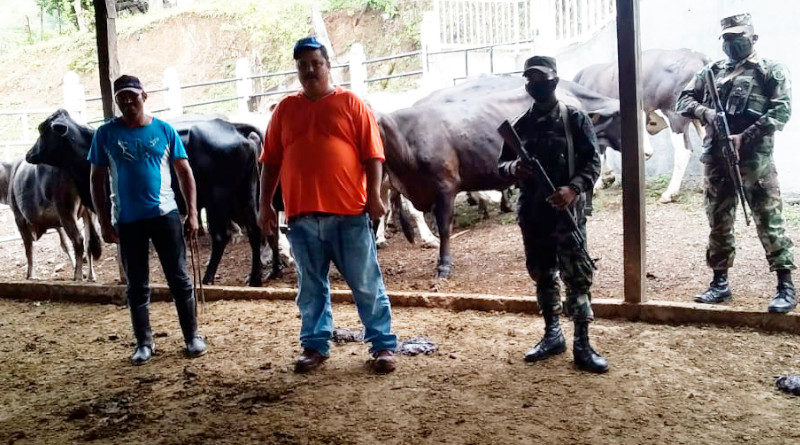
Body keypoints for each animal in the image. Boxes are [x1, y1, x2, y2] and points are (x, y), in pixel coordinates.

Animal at [25, 109, 280, 286]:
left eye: (42, 129)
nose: (28, 154)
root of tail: (232, 126)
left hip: (219, 200)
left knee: (222, 235)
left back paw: (210, 277)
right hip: (244, 196)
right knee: (256, 230)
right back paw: (254, 277)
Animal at [572, 48, 708, 201]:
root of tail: (696, 55)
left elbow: (599, 152)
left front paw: (596, 185)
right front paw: (607, 178)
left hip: (674, 114)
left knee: (683, 151)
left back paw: (670, 193)